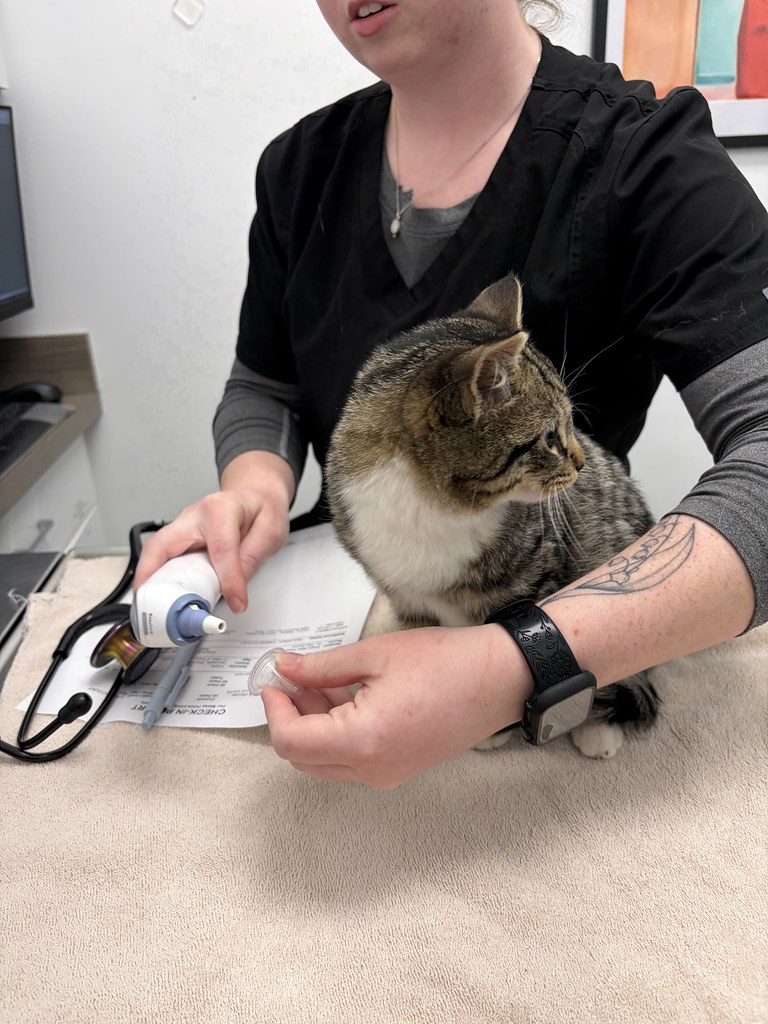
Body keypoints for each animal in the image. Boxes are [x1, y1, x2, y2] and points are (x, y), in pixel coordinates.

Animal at [325, 274, 660, 759]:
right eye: (549, 436)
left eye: (571, 423)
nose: (580, 462)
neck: (431, 508)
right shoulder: (401, 592)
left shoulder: (535, 578)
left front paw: (492, 726)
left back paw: (600, 729)